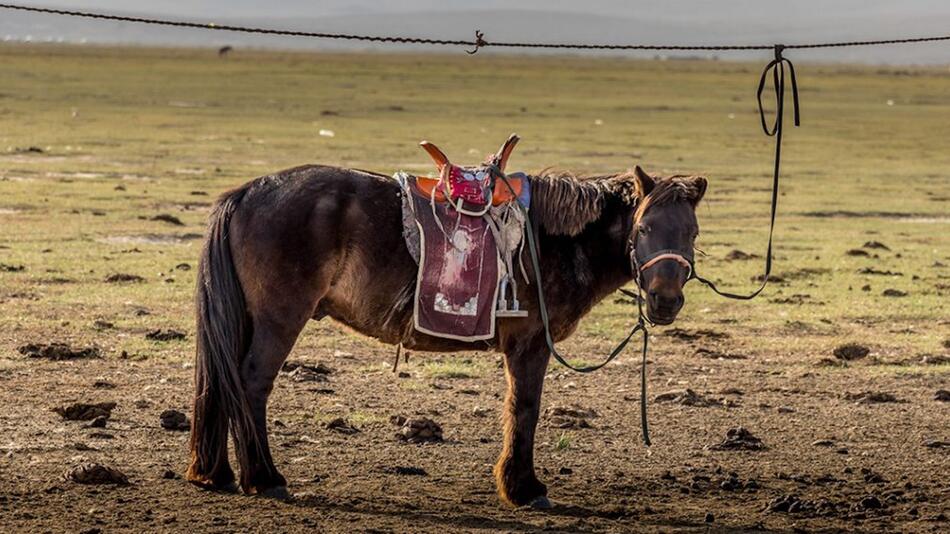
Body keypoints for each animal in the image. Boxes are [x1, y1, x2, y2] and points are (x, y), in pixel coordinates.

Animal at [186, 144, 708, 508]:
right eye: (643, 228)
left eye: (692, 232)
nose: (665, 300)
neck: (550, 239)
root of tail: (246, 192)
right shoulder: (529, 345)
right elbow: (525, 409)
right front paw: (524, 488)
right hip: (279, 319)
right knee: (252, 384)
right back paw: (265, 478)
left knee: (222, 384)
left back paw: (219, 474)